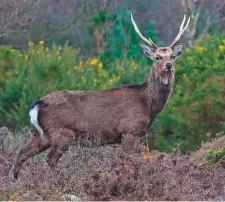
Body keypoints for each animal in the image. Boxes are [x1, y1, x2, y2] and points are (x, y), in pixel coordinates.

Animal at [11, 14, 190, 179]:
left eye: (173, 56)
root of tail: (37, 105)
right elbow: (129, 162)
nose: (169, 65)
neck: (147, 103)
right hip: (62, 132)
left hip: (40, 134)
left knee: (21, 153)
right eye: (157, 57)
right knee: (50, 158)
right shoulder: (129, 130)